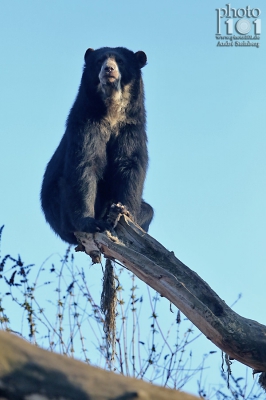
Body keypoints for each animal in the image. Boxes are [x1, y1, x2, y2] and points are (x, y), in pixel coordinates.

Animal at [41, 46, 154, 244]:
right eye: (99, 61)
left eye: (120, 61)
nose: (109, 69)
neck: (112, 112)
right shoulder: (87, 123)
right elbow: (86, 164)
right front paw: (91, 222)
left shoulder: (131, 128)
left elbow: (130, 165)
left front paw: (125, 211)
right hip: (57, 204)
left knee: (148, 210)